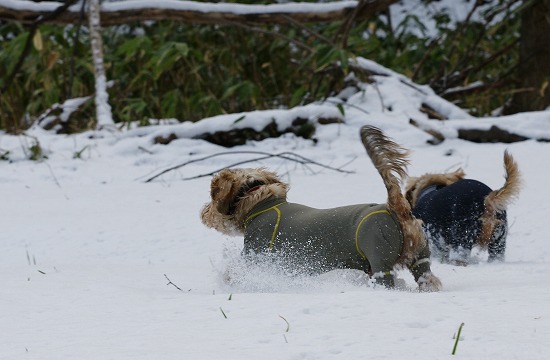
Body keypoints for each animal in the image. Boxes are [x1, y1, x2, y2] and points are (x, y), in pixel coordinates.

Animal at [203, 126, 444, 290]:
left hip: (379, 259)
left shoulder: (257, 254)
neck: (261, 203)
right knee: (428, 277)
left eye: (212, 196)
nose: (204, 214)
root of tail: (396, 209)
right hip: (420, 258)